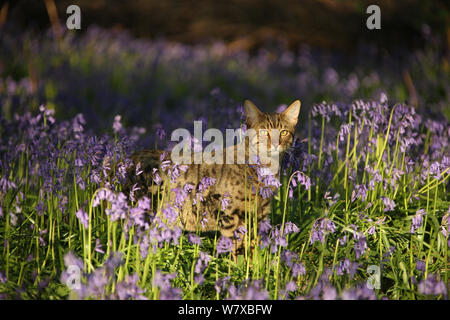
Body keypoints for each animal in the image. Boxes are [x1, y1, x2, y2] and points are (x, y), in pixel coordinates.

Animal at [125, 100, 300, 255]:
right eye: (264, 132)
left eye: (284, 132)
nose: (276, 144)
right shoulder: (232, 216)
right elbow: (239, 251)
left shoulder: (260, 215)